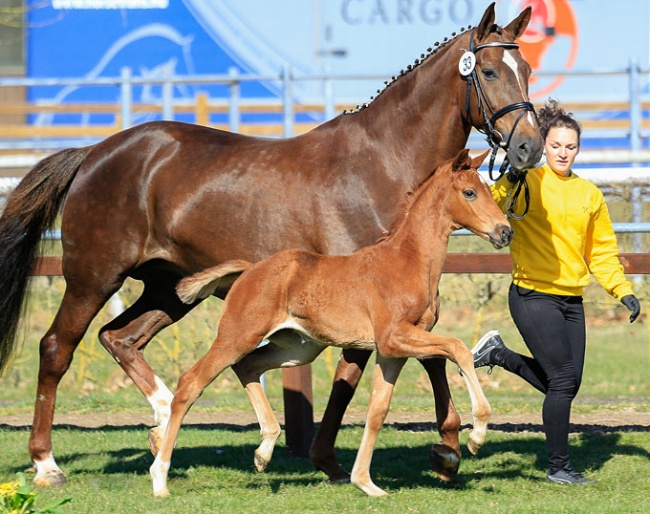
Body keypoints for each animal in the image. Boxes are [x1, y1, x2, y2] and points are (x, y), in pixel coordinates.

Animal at [149, 149, 508, 496]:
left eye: (489, 189)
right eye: (470, 192)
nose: (505, 231)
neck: (408, 260)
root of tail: (249, 270)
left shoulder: (391, 351)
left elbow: (378, 410)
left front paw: (366, 483)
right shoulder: (394, 337)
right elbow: (457, 349)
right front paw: (477, 434)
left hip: (297, 348)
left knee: (247, 366)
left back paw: (264, 450)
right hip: (237, 336)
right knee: (192, 382)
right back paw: (160, 478)